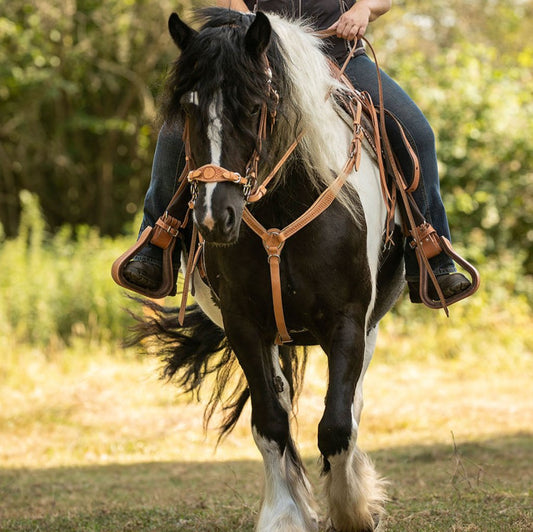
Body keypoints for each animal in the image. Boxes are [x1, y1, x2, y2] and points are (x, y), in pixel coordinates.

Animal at [133, 8, 404, 532]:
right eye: (188, 109)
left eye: (254, 106)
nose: (214, 219)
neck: (282, 206)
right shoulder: (243, 324)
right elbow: (271, 424)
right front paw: (285, 515)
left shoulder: (348, 322)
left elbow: (337, 424)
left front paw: (354, 511)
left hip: (369, 329)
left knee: (353, 406)